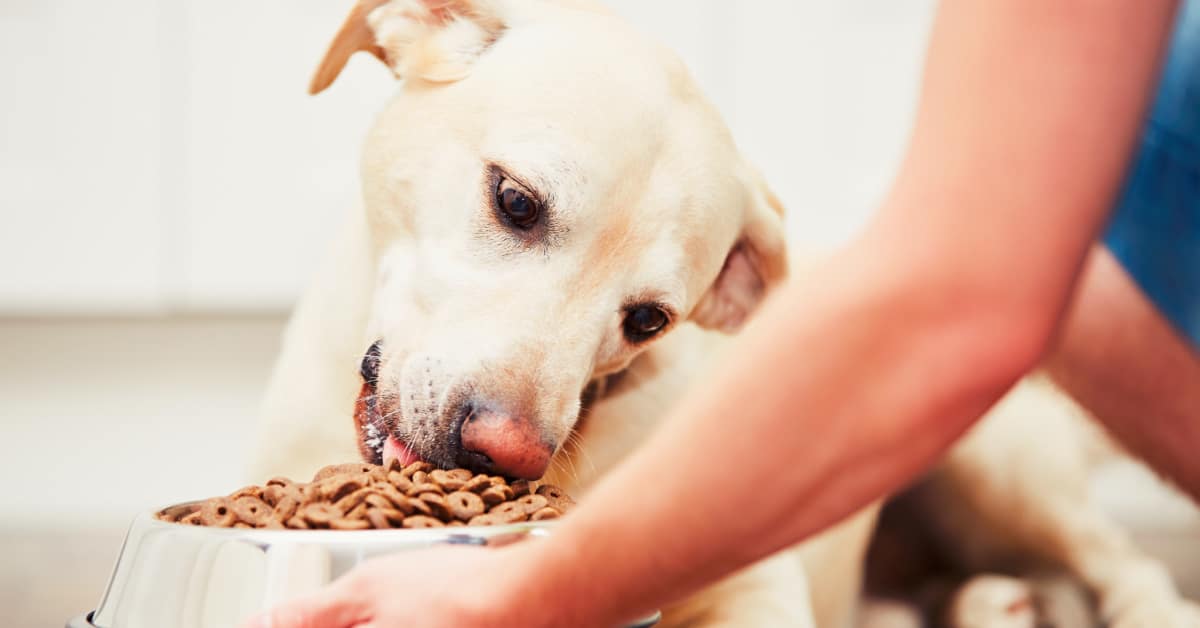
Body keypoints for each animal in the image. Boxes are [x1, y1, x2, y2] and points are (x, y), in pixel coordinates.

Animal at [248, 2, 1195, 624]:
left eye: (649, 320)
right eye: (515, 200)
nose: (507, 455)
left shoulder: (756, 583)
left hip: (995, 467)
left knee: (1124, 568)